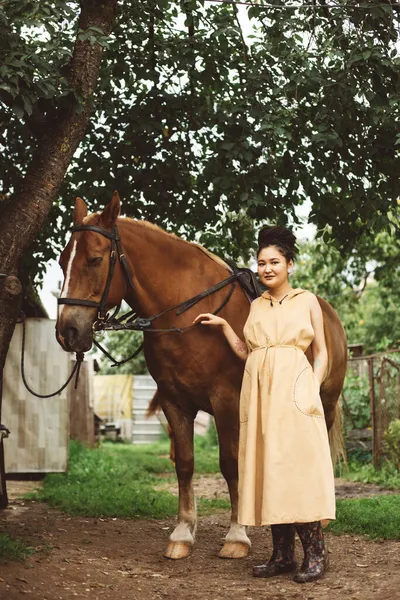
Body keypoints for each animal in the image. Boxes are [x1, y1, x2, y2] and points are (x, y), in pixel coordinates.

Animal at [55, 193, 346, 564]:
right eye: (62, 261)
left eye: (93, 259)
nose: (67, 331)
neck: (187, 313)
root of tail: (328, 314)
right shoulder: (174, 402)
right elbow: (185, 464)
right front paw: (182, 534)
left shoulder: (226, 401)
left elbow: (230, 464)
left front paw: (237, 536)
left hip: (324, 403)